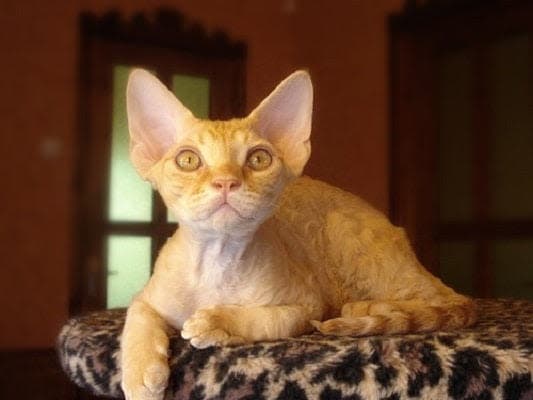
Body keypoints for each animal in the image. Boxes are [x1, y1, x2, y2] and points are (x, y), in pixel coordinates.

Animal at [119, 69, 474, 400]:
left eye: (258, 159)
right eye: (188, 160)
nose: (226, 182)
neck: (217, 262)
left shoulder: (307, 306)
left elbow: (267, 319)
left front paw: (218, 322)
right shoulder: (146, 297)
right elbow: (136, 320)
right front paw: (140, 374)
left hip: (353, 245)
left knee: (440, 297)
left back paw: (369, 307)